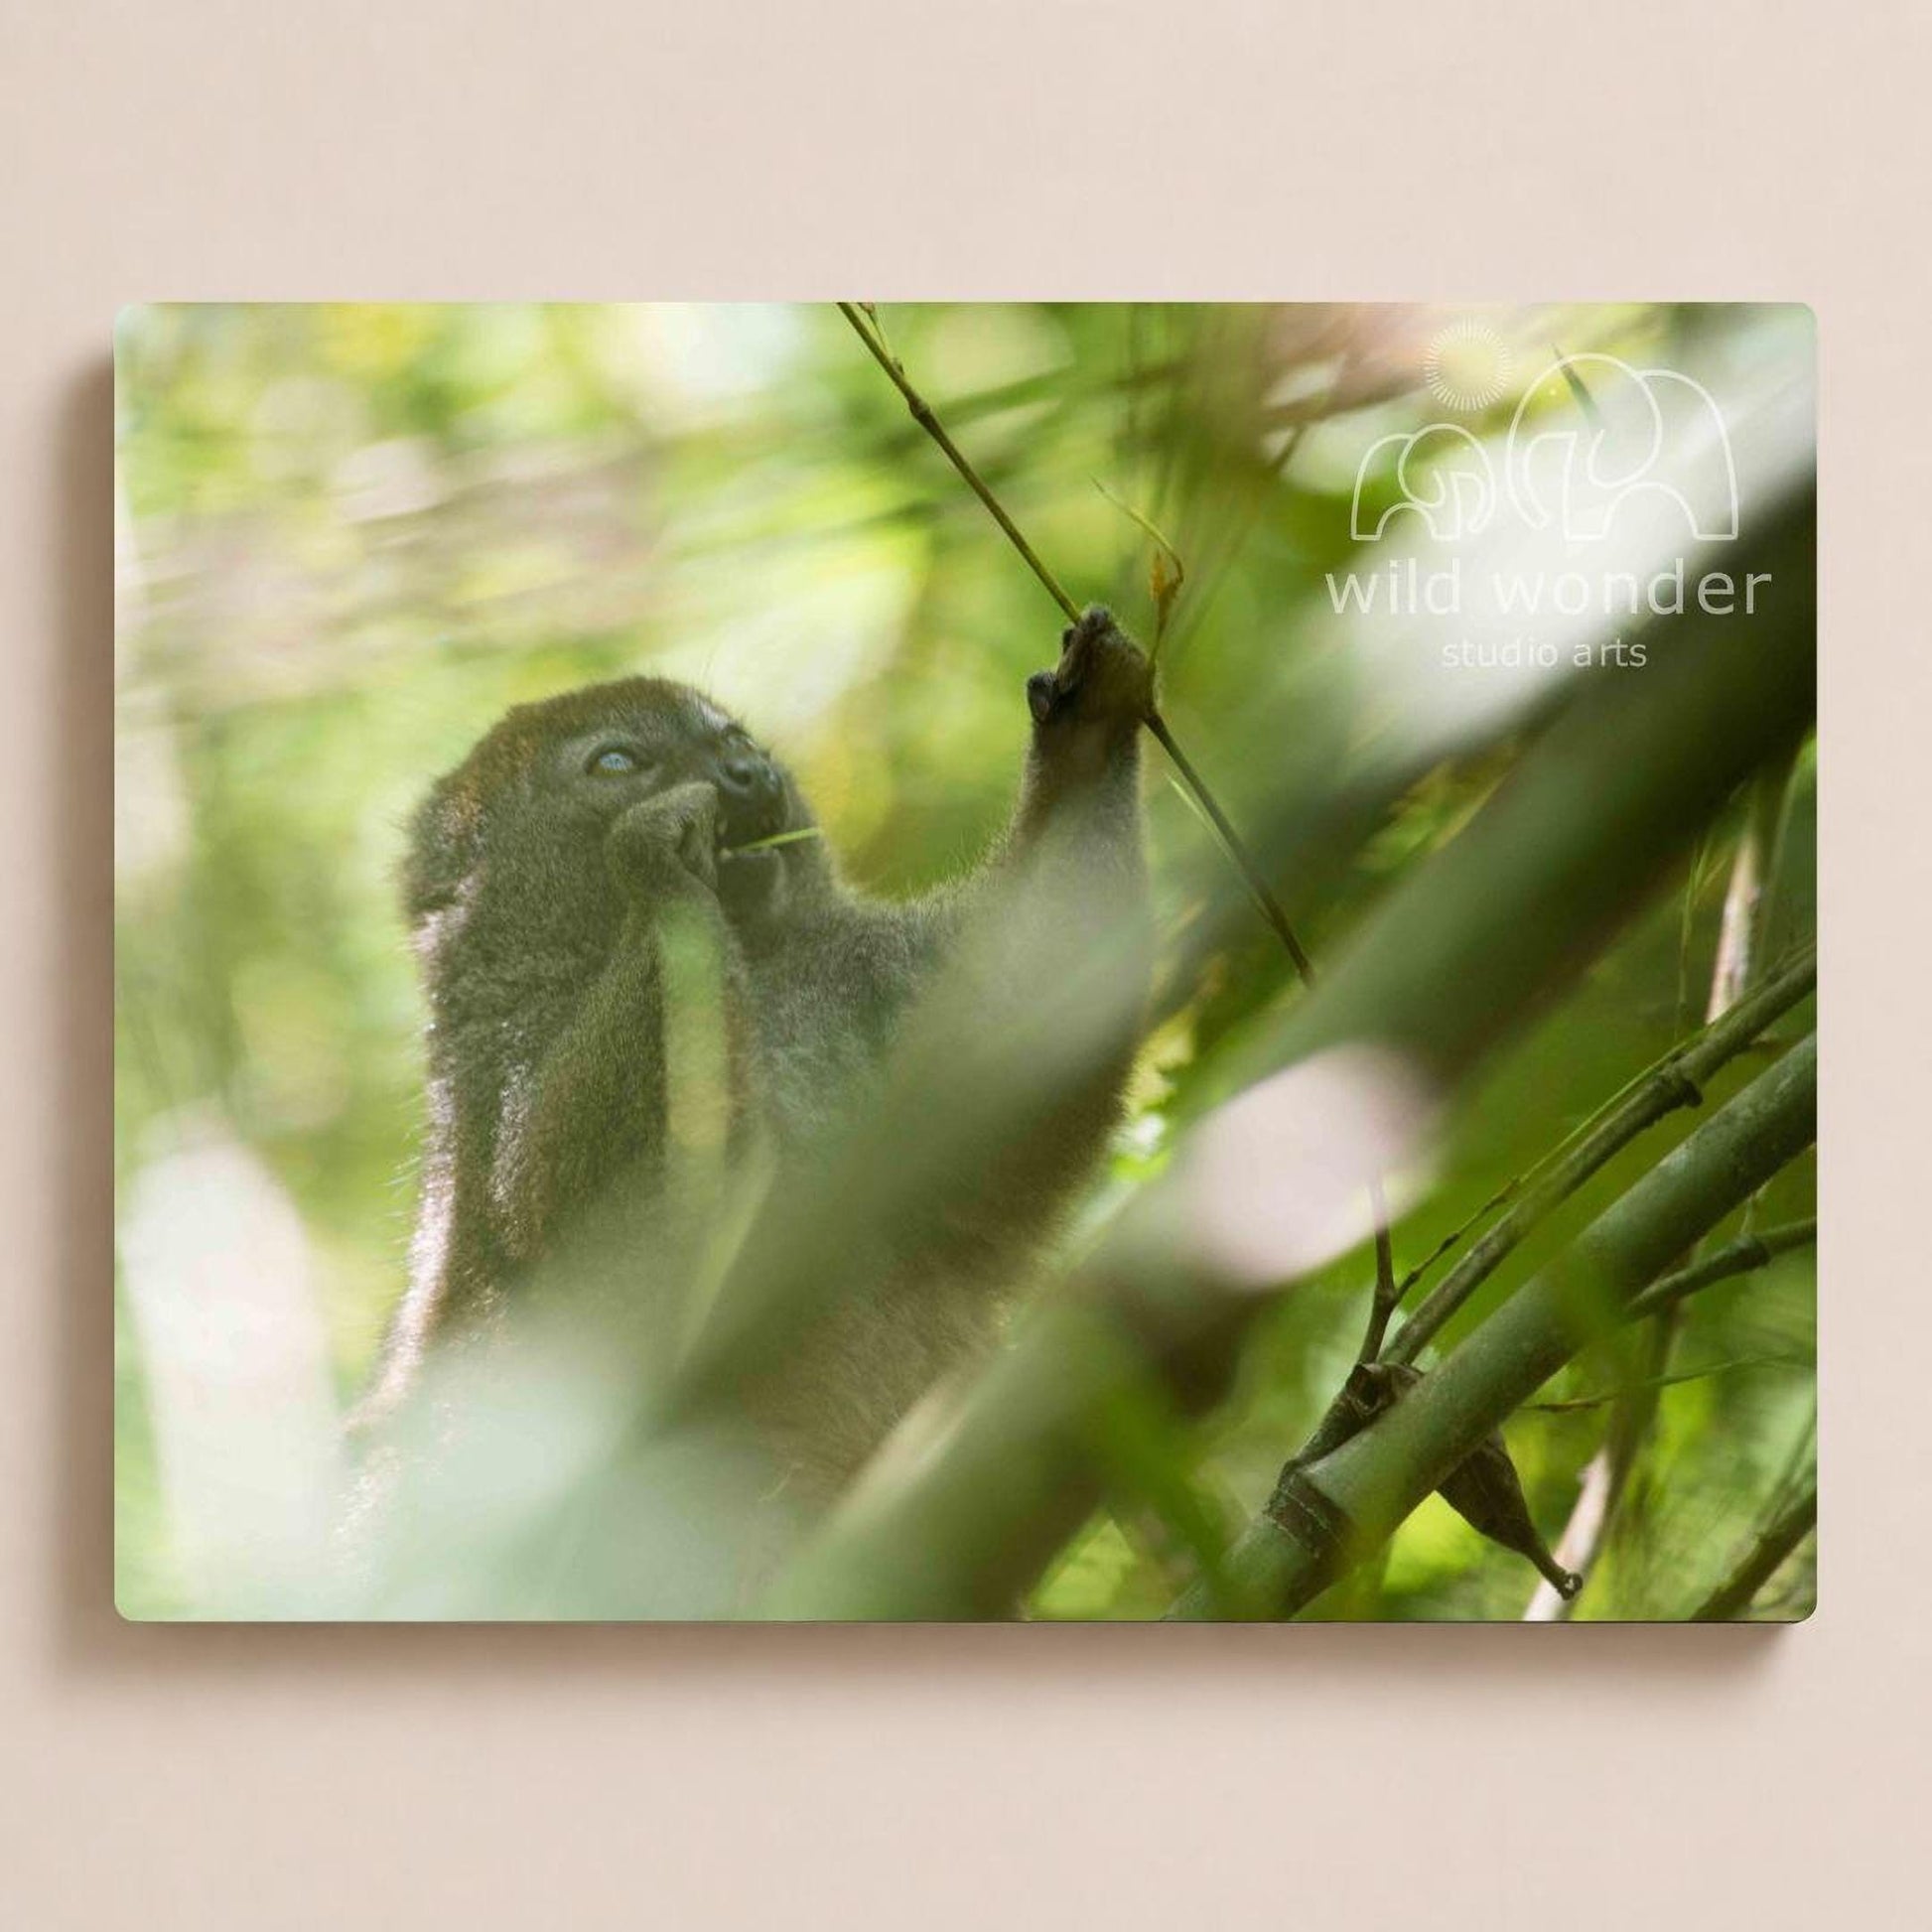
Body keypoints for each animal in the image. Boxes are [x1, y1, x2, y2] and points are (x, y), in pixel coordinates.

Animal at [360, 607, 1152, 1608]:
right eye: (618, 762)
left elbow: (1029, 1018)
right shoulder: (496, 1085)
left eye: (731, 736)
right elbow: (593, 1284)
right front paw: (660, 866)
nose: (747, 772)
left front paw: (1086, 732)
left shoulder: (872, 982)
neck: (768, 967)